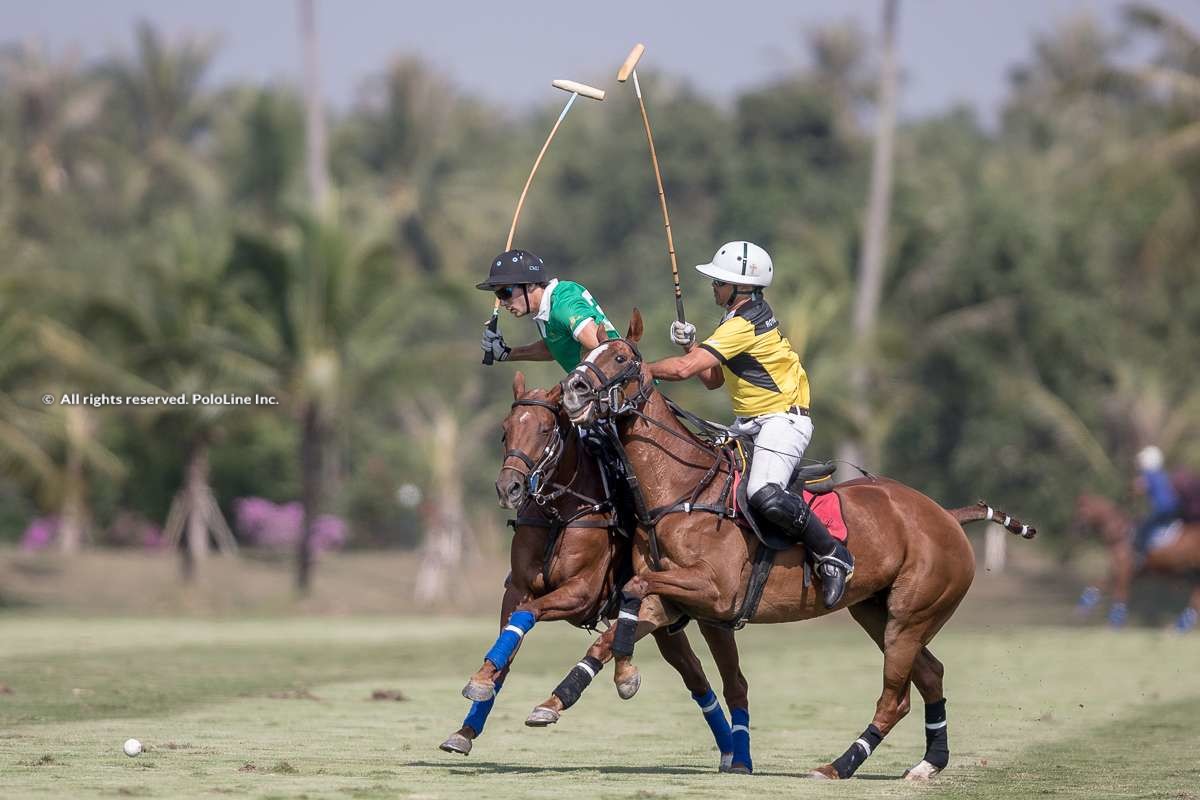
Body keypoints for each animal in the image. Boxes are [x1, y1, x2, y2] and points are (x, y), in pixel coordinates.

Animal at [446, 376, 753, 777]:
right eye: (505, 430)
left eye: (545, 429)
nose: (508, 489)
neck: (560, 512)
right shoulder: (517, 589)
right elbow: (508, 648)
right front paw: (470, 714)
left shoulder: (581, 593)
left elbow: (527, 615)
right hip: (664, 624)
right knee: (694, 674)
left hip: (708, 613)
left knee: (719, 677)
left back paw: (732, 751)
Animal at [530, 319, 1036, 782]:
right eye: (587, 355)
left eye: (619, 357)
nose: (572, 391)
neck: (682, 491)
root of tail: (946, 515)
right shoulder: (676, 598)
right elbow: (617, 627)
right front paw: (563, 697)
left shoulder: (715, 592)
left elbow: (633, 591)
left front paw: (625, 677)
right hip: (879, 612)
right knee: (930, 673)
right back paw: (928, 763)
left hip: (912, 616)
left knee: (895, 698)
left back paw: (839, 765)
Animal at [1075, 494, 1195, 633]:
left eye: (1080, 509)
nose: (1076, 529)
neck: (1120, 535)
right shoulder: (1117, 574)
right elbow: (1095, 587)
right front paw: (1081, 612)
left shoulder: (1124, 575)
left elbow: (1119, 597)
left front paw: (1114, 627)